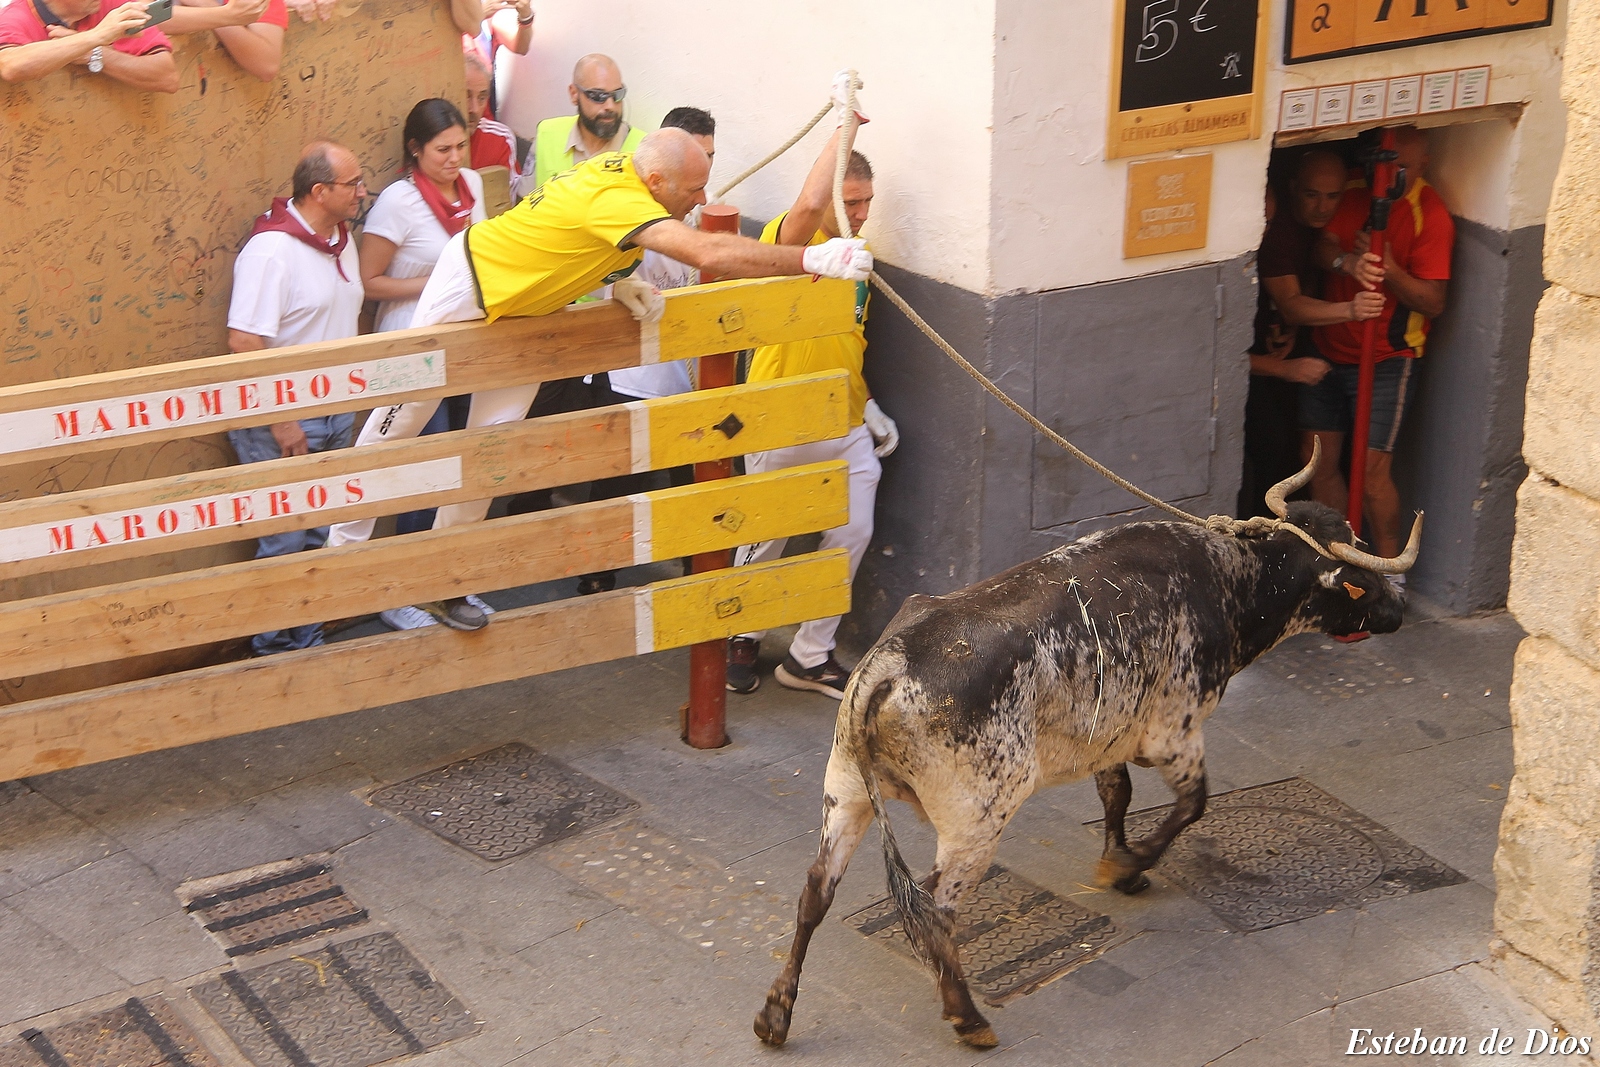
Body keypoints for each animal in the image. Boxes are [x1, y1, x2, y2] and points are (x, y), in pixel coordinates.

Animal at [755, 454, 1420, 1049]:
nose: (1400, 606)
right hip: (977, 821)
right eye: (1359, 571)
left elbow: (1117, 794)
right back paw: (969, 1019)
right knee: (936, 910)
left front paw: (1120, 859)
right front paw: (1129, 866)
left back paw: (775, 1015)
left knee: (816, 892)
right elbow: (1193, 805)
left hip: (846, 793)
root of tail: (888, 667)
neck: (1228, 578)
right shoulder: (1175, 732)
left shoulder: (1113, 735)